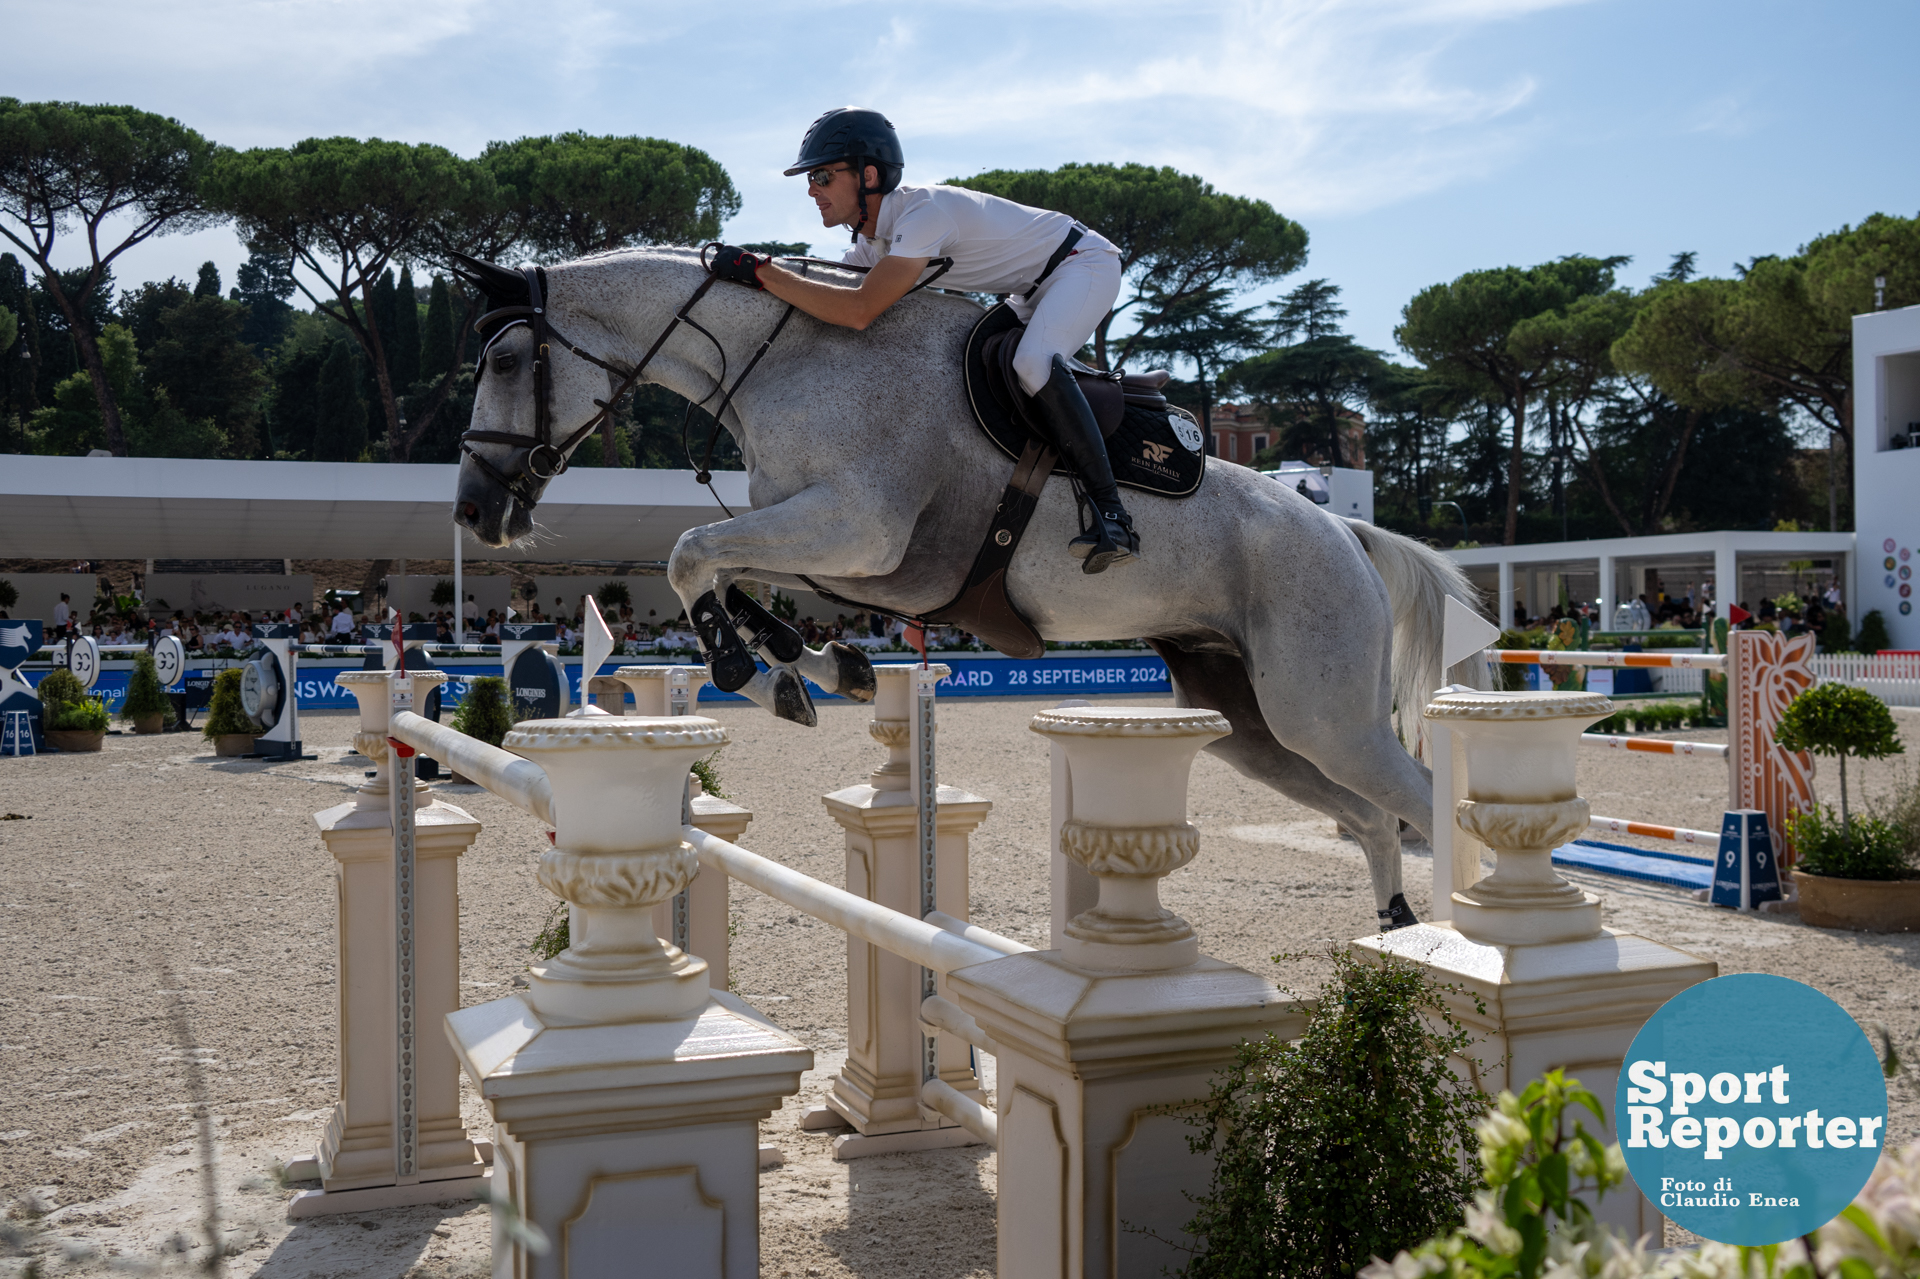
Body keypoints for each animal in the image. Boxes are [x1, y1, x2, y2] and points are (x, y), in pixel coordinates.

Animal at [449, 245, 1482, 925]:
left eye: (505, 360)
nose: (474, 510)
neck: (787, 360)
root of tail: (1344, 528)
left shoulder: (862, 527)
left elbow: (688, 549)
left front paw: (749, 666)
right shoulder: (846, 546)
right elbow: (724, 563)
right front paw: (811, 666)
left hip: (1324, 714)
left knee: (1425, 801)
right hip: (1258, 725)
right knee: (1370, 820)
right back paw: (1395, 931)